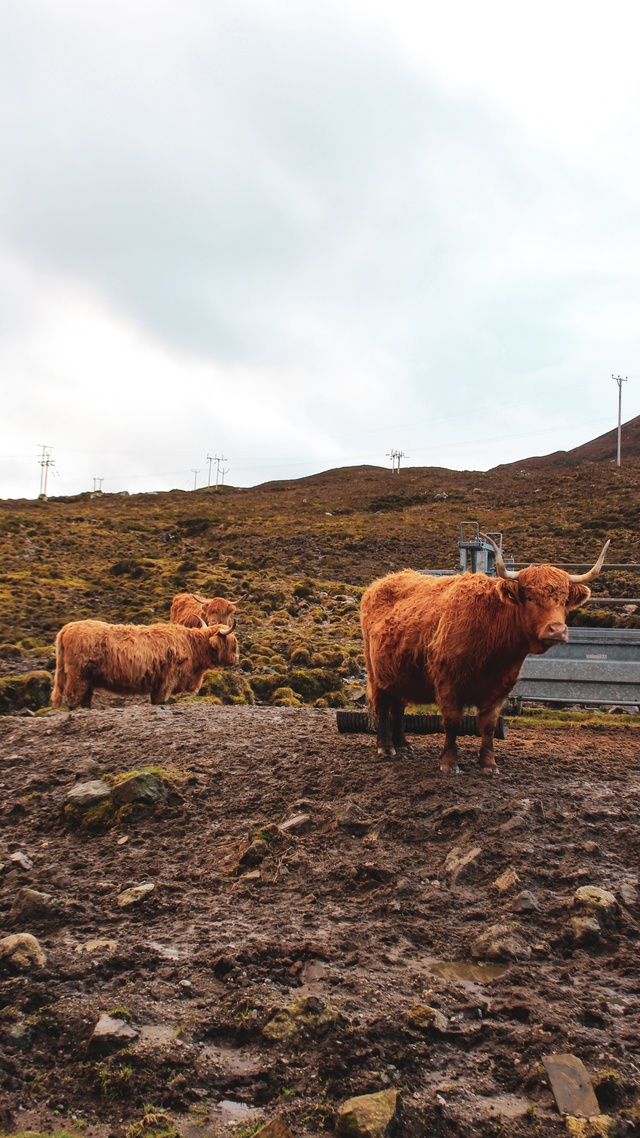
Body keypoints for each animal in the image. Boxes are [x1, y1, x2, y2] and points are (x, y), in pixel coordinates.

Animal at [51, 619, 236, 705]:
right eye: (232, 643)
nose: (236, 659)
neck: (191, 646)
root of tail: (66, 628)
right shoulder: (167, 680)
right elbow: (160, 700)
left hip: (88, 680)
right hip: (77, 675)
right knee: (73, 697)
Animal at [359, 534, 605, 773]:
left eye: (563, 601)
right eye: (530, 597)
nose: (557, 630)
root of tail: (379, 583)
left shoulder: (500, 688)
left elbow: (488, 725)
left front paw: (489, 764)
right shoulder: (448, 683)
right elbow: (452, 722)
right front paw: (450, 762)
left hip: (399, 674)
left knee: (398, 708)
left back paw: (403, 744)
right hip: (376, 674)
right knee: (383, 707)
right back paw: (386, 747)